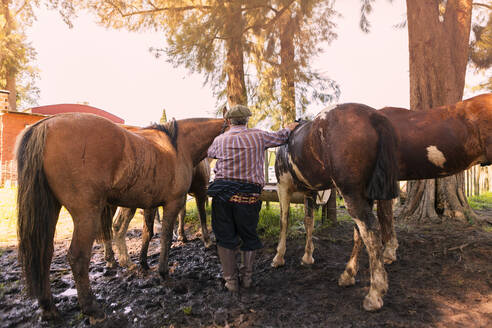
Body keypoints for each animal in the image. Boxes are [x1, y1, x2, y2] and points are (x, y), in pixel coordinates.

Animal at [15, 113, 227, 322]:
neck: (177, 145)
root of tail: (46, 125)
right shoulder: (174, 202)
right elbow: (166, 238)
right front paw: (164, 273)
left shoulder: (150, 205)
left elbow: (148, 234)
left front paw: (144, 264)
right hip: (87, 214)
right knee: (78, 256)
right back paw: (92, 308)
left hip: (51, 209)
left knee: (44, 254)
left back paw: (49, 308)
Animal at [272, 104, 400, 312]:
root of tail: (374, 116)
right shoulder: (310, 193)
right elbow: (309, 222)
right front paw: (307, 256)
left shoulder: (282, 187)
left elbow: (284, 221)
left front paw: (279, 257)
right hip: (365, 195)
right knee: (360, 233)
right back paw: (348, 275)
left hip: (351, 194)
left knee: (370, 232)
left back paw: (374, 293)